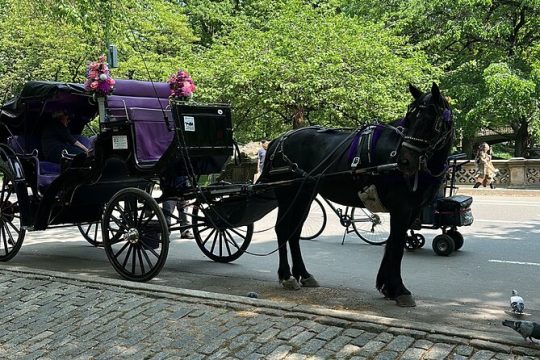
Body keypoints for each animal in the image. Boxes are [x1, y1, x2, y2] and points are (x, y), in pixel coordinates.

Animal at [260, 82, 454, 306]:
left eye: (430, 120)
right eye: (410, 117)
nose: (404, 161)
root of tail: (280, 139)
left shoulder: (412, 210)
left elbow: (392, 244)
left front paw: (387, 286)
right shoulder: (401, 208)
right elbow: (396, 246)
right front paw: (399, 289)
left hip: (304, 195)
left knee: (295, 231)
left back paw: (303, 274)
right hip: (288, 194)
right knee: (283, 229)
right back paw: (286, 276)